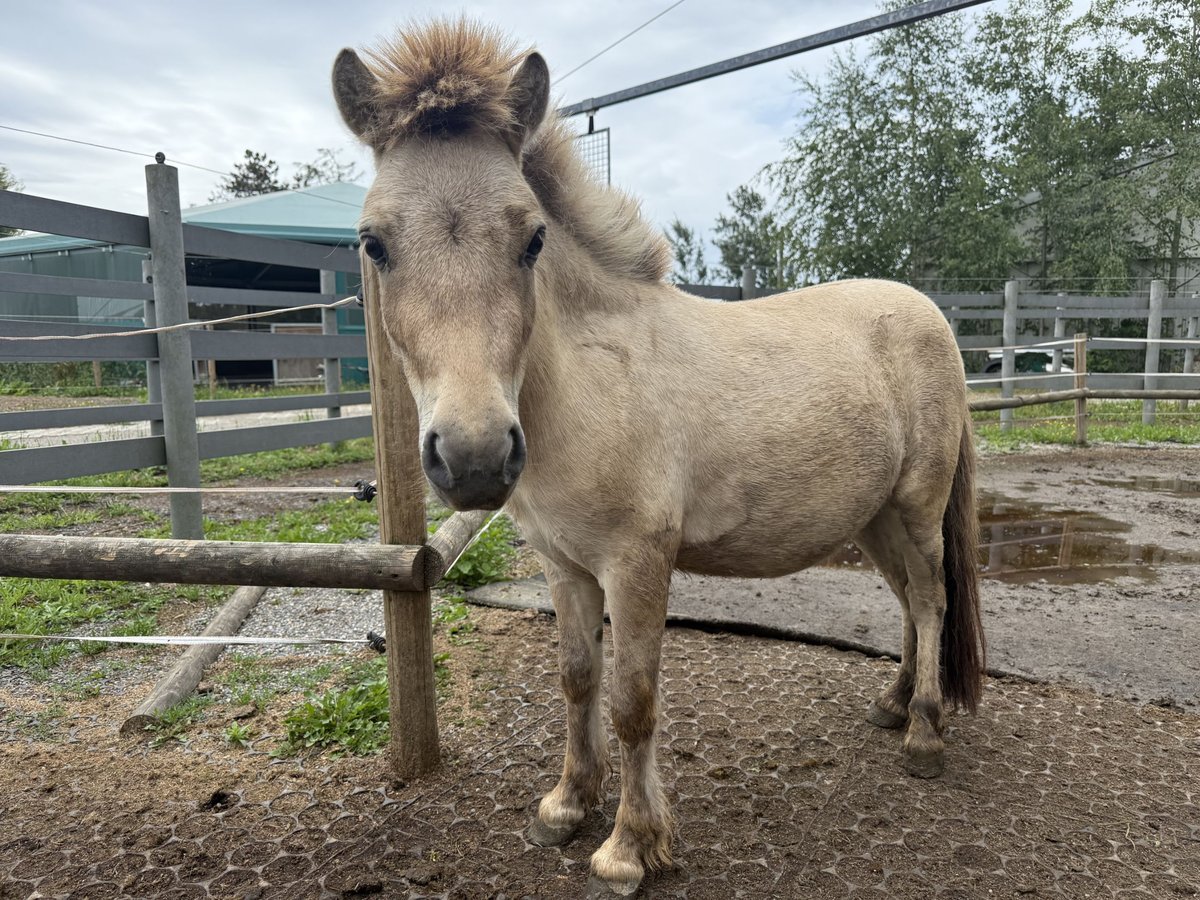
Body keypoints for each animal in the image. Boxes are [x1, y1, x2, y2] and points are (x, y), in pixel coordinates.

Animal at [332, 20, 985, 898]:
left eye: (532, 238)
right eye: (374, 243)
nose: (473, 456)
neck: (593, 379)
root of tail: (931, 316)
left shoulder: (637, 565)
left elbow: (632, 702)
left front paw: (630, 848)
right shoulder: (565, 566)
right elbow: (578, 681)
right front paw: (566, 806)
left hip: (916, 511)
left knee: (933, 600)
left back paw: (923, 736)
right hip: (874, 519)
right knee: (911, 605)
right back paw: (891, 704)